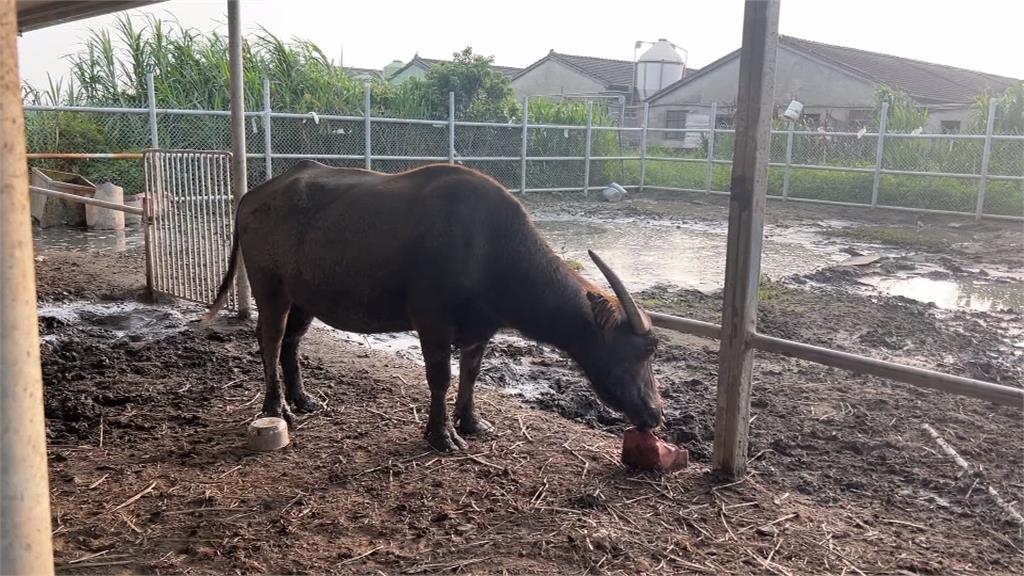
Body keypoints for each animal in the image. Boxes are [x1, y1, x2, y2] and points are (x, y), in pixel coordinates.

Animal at [207, 159, 663, 448]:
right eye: (643, 350)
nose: (655, 414)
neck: (490, 247)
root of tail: (253, 195)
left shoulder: (481, 329)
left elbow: (470, 376)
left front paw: (471, 422)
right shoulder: (432, 322)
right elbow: (440, 377)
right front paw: (441, 435)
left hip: (304, 297)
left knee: (292, 342)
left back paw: (303, 400)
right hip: (271, 287)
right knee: (269, 339)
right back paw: (277, 407)